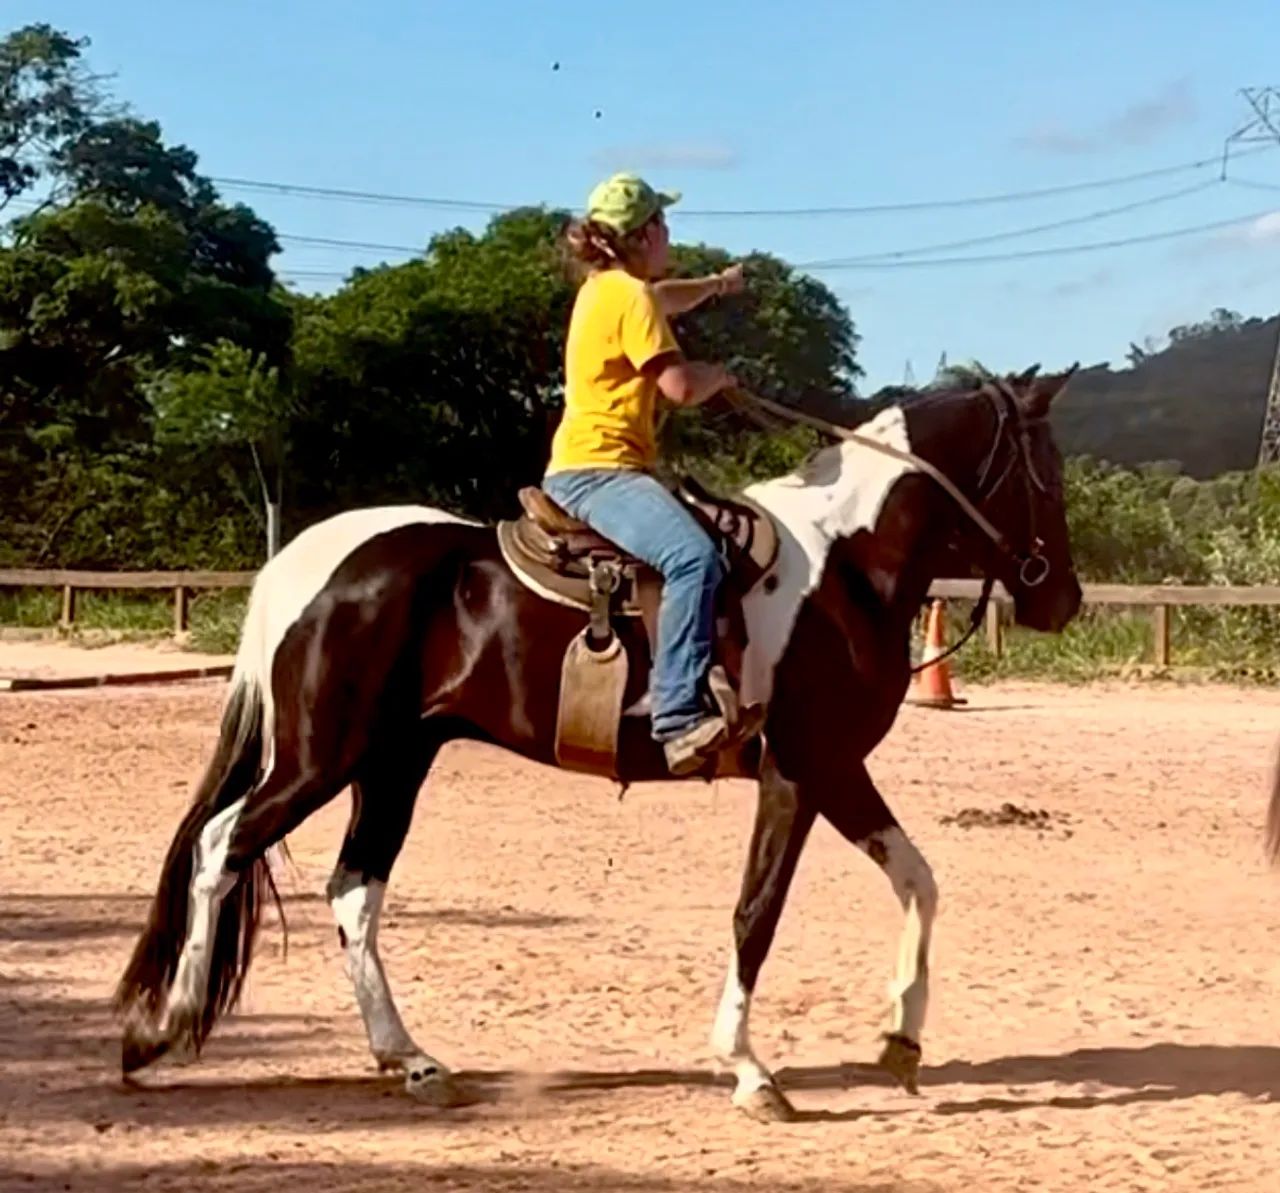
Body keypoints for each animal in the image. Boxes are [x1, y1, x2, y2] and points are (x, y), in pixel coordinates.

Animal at [114, 366, 1083, 1123]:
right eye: (1046, 468)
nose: (1062, 598)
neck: (843, 565)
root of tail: (311, 560)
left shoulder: (835, 767)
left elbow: (918, 878)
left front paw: (901, 1041)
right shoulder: (801, 769)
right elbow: (757, 911)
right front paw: (749, 1069)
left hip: (393, 764)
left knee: (354, 890)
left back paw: (414, 1061)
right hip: (324, 757)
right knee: (221, 845)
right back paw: (166, 1025)